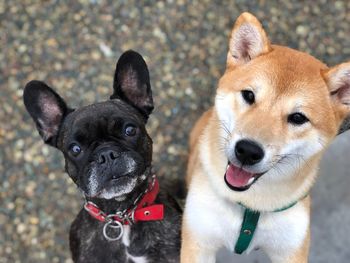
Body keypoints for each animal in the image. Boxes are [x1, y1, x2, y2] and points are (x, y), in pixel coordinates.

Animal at [180, 12, 350, 263]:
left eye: (298, 117)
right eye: (249, 95)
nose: (248, 151)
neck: (250, 206)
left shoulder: (291, 248)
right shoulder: (199, 240)